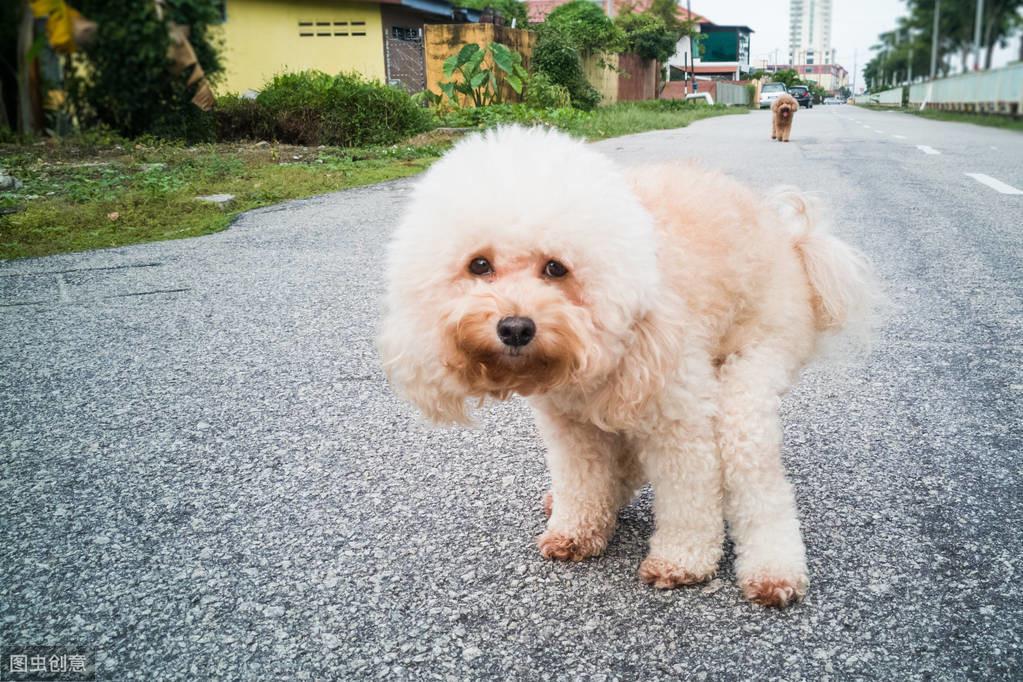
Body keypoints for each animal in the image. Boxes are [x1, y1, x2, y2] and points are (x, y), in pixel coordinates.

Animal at [380, 126, 875, 609]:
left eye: (556, 268)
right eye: (479, 264)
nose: (515, 328)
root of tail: (794, 241)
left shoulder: (677, 412)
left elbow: (690, 492)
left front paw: (682, 560)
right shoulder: (570, 425)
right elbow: (582, 480)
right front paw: (576, 530)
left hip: (755, 362)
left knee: (754, 472)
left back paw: (774, 572)